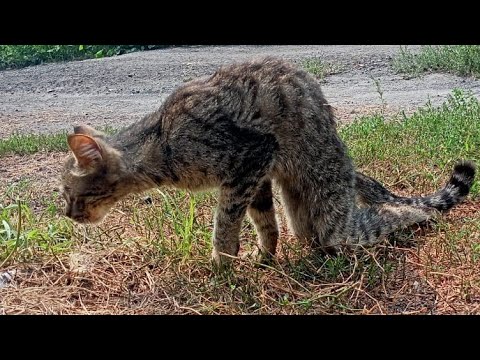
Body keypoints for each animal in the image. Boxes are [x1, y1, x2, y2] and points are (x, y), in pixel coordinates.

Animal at [60, 56, 476, 264]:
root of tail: (350, 168)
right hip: (300, 211)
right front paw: (265, 257)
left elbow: (226, 224)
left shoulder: (250, 158)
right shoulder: (256, 175)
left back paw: (420, 217)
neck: (159, 142)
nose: (67, 214)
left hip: (330, 215)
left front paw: (222, 265)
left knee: (385, 215)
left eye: (68, 193)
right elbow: (265, 222)